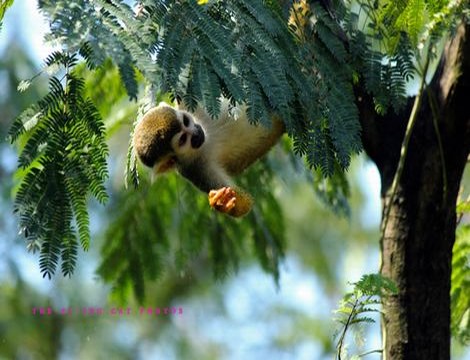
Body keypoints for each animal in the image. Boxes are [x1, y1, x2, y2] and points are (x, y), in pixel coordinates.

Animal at [134, 101, 284, 217]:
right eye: (183, 139)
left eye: (186, 121)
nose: (196, 132)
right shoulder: (194, 169)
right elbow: (243, 203)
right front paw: (222, 203)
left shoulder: (189, 107)